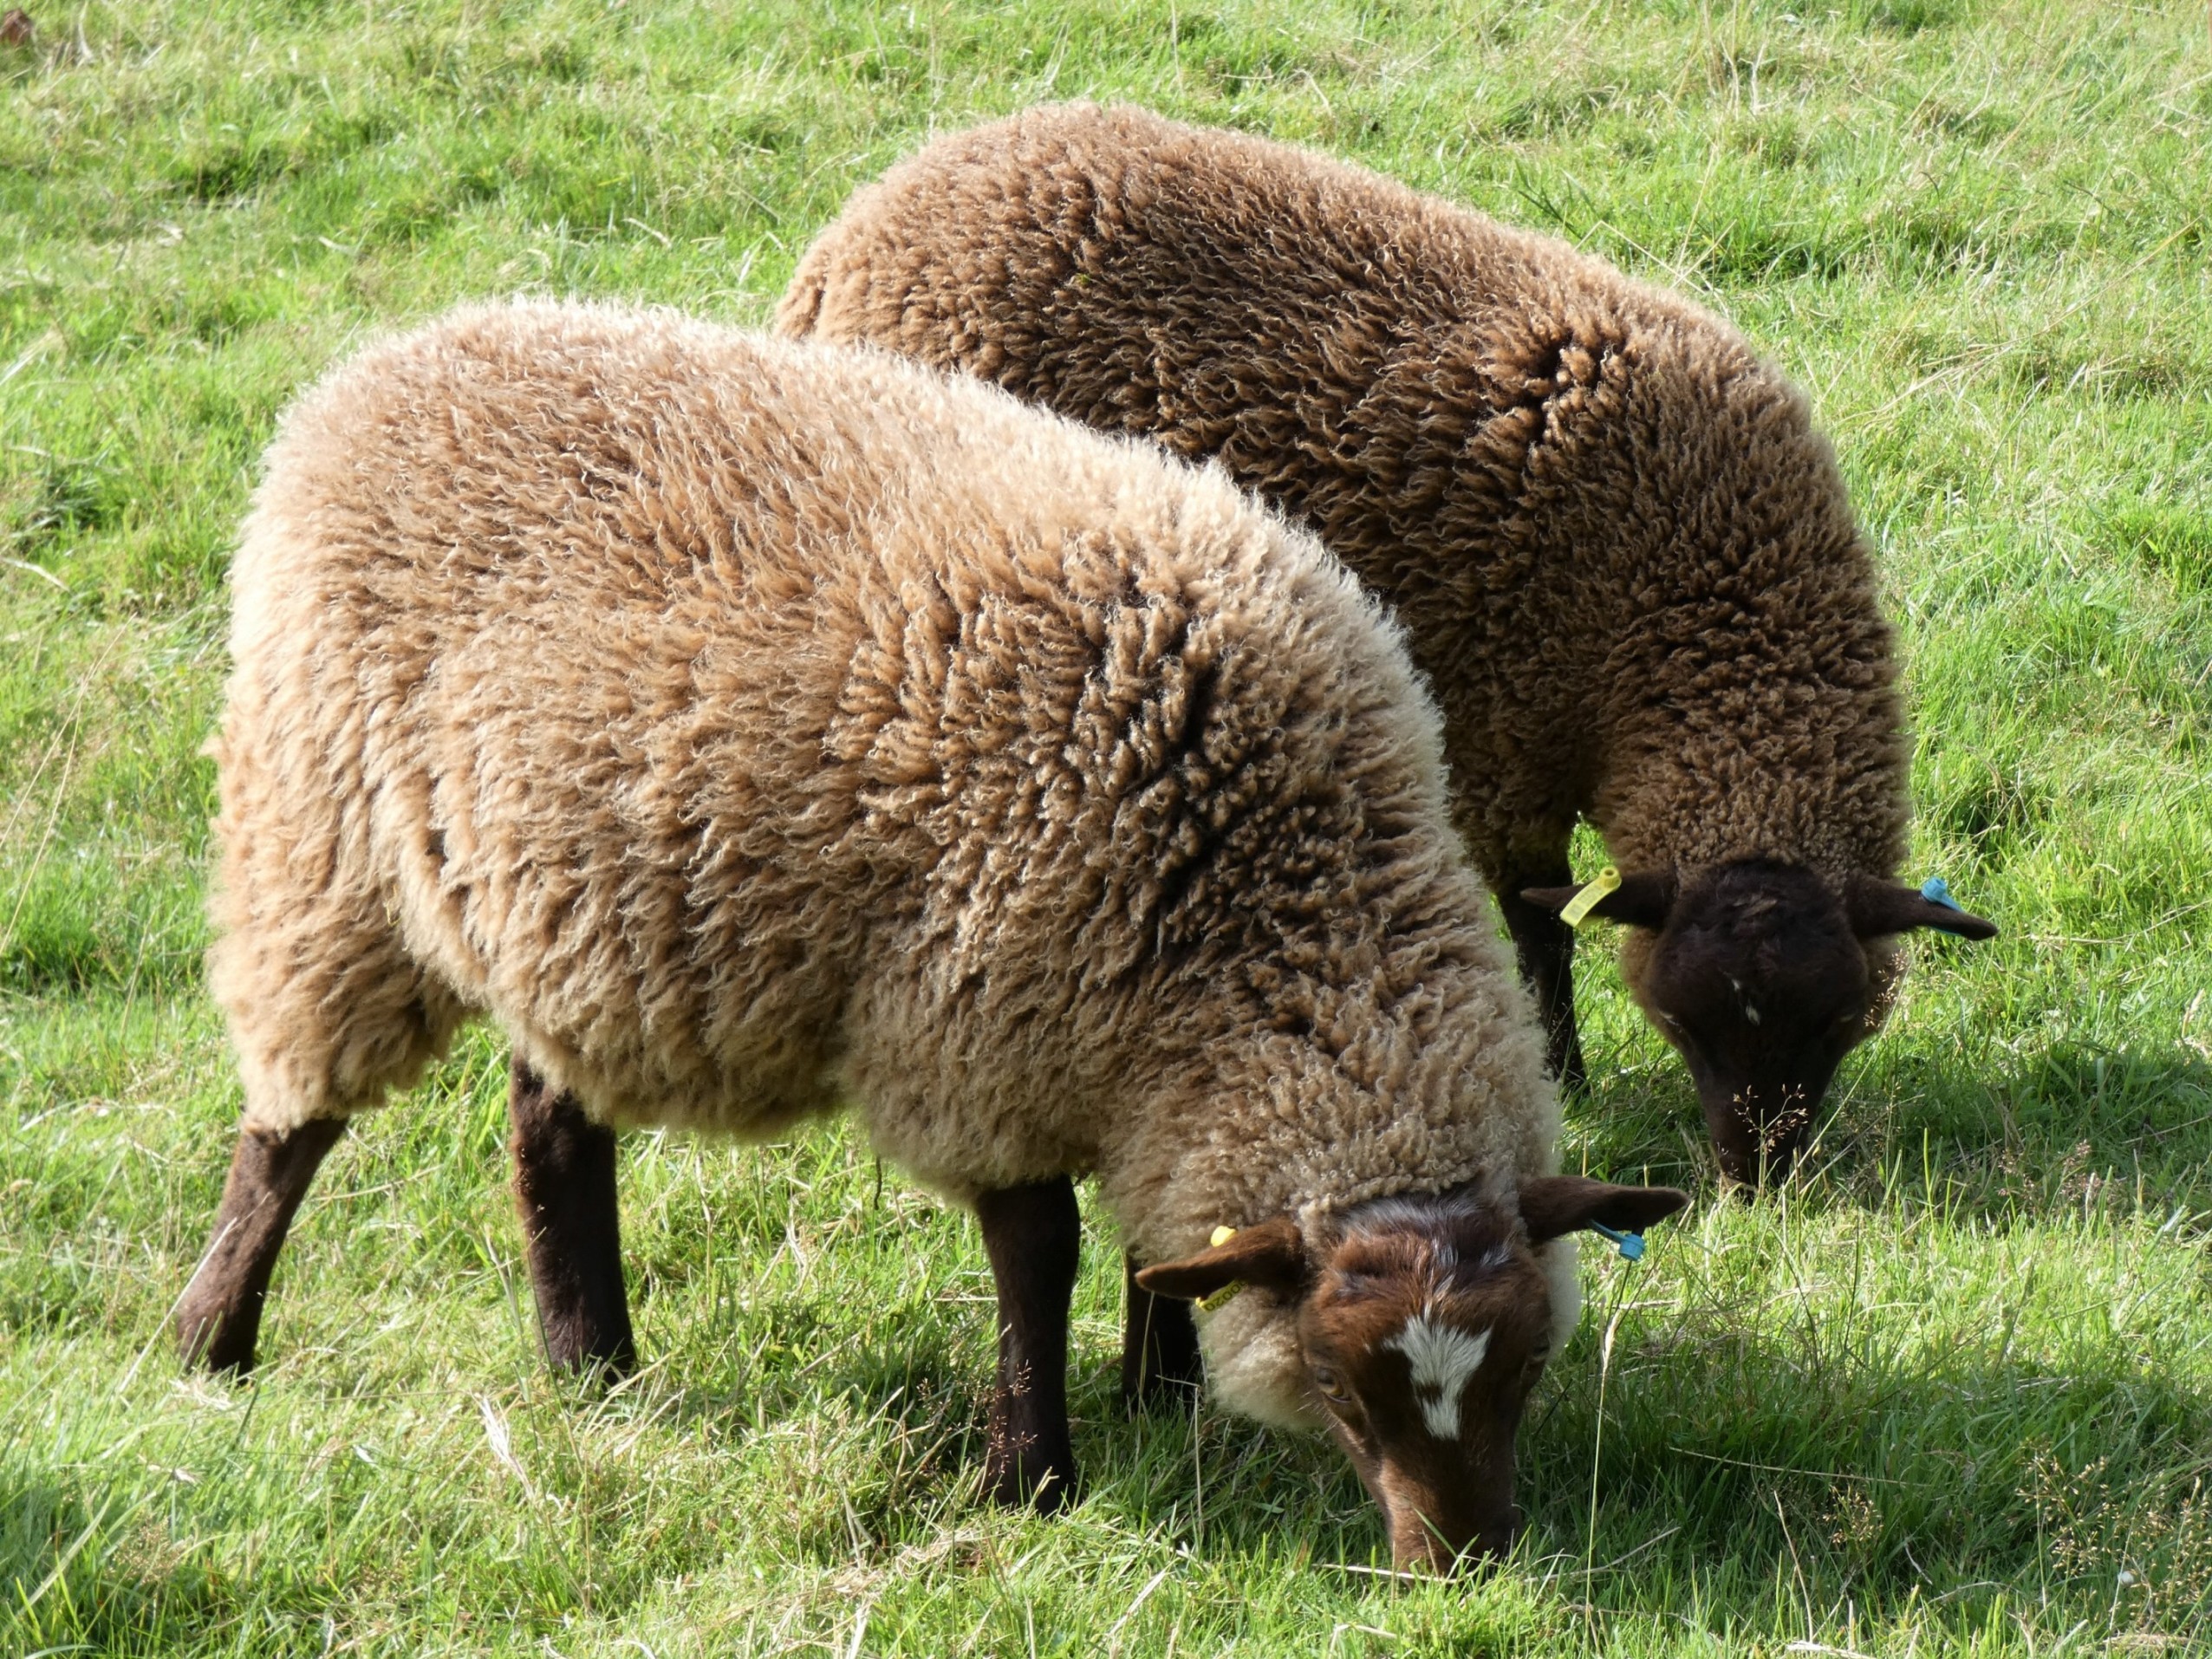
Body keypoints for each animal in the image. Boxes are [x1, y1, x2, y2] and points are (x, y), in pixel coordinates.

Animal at [175, 301, 1687, 1569]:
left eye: (1527, 1365)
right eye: (1345, 1380)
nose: (1466, 1563)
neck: (1256, 889)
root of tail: (378, 368)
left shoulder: (1131, 1044)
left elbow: (1159, 1241)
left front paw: (1157, 1388)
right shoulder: (984, 1029)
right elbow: (1039, 1246)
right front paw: (1036, 1472)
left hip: (564, 913)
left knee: (550, 1127)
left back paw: (591, 1360)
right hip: (321, 846)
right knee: (291, 1121)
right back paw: (213, 1337)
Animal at [776, 101, 1998, 1186]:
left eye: (1835, 1025)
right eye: (1685, 1026)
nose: (1759, 1183)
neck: (1697, 605)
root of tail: (853, 235)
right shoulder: (1507, 744)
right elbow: (1540, 926)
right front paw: (1564, 1073)